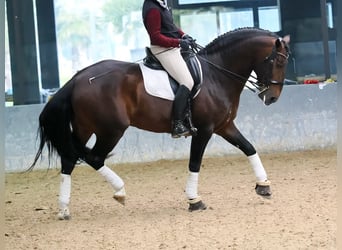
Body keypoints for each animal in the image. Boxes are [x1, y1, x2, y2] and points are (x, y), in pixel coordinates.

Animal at [30, 26, 290, 219]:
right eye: (277, 61)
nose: (272, 98)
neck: (218, 74)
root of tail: (78, 78)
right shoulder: (204, 130)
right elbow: (195, 162)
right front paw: (194, 200)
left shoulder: (224, 126)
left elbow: (249, 148)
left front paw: (263, 186)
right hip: (111, 130)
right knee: (94, 158)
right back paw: (120, 192)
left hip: (85, 127)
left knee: (69, 158)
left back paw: (64, 209)